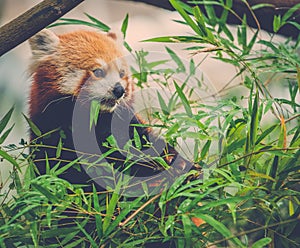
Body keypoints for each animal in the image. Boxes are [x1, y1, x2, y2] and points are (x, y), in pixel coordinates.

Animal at [28, 28, 190, 194]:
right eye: (98, 72)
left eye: (121, 73)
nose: (120, 90)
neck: (95, 121)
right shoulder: (51, 140)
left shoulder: (127, 125)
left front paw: (175, 164)